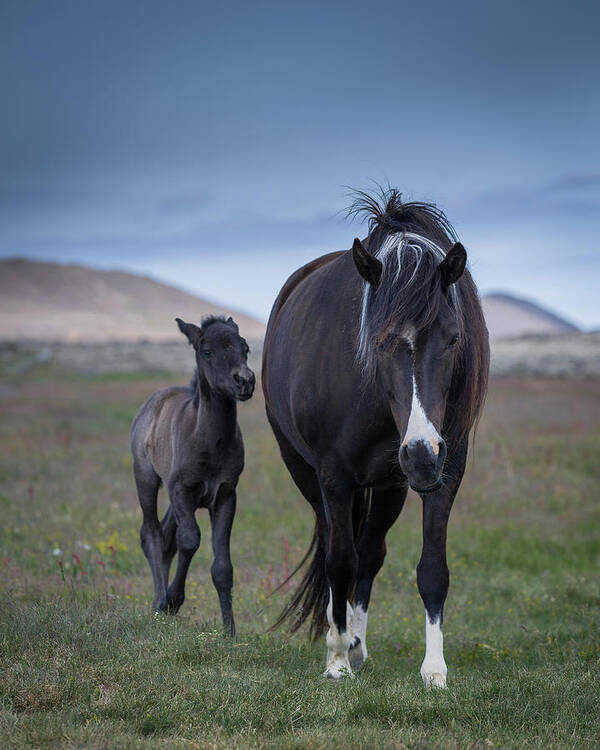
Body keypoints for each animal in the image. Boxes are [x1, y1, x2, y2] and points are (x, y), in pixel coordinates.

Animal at [130, 314, 254, 636]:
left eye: (245, 348)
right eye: (207, 351)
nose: (245, 380)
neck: (210, 441)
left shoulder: (225, 494)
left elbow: (222, 565)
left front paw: (229, 631)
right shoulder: (181, 489)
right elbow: (189, 540)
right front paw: (172, 600)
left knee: (165, 535)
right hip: (147, 478)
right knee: (151, 533)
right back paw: (158, 601)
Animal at [262, 189, 488, 688]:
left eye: (452, 339)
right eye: (381, 342)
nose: (421, 454)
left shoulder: (447, 468)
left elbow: (431, 570)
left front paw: (434, 670)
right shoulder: (333, 474)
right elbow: (338, 562)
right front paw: (336, 661)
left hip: (390, 486)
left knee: (369, 554)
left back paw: (358, 643)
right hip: (305, 473)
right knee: (338, 551)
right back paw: (341, 641)